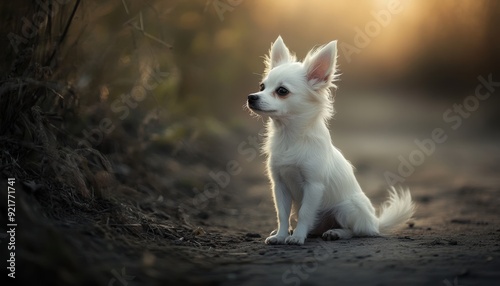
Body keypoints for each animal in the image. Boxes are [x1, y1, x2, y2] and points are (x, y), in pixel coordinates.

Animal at [246, 36, 414, 246]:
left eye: (282, 91)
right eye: (262, 87)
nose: (251, 97)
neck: (290, 137)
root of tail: (374, 222)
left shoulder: (313, 185)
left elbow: (305, 213)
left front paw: (297, 237)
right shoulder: (280, 185)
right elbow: (282, 215)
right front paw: (281, 235)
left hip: (347, 208)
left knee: (355, 231)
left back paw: (336, 233)